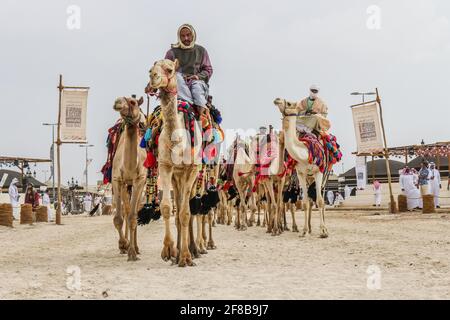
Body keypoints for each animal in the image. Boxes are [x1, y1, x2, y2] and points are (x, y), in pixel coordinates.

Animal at [272, 99, 328, 239]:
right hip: (305, 178)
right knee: (307, 201)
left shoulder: (318, 172)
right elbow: (305, 203)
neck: (305, 152)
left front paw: (323, 231)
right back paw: (307, 228)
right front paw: (304, 230)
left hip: (323, 175)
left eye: (289, 103)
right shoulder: (300, 173)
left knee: (321, 200)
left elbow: (320, 201)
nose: (277, 99)